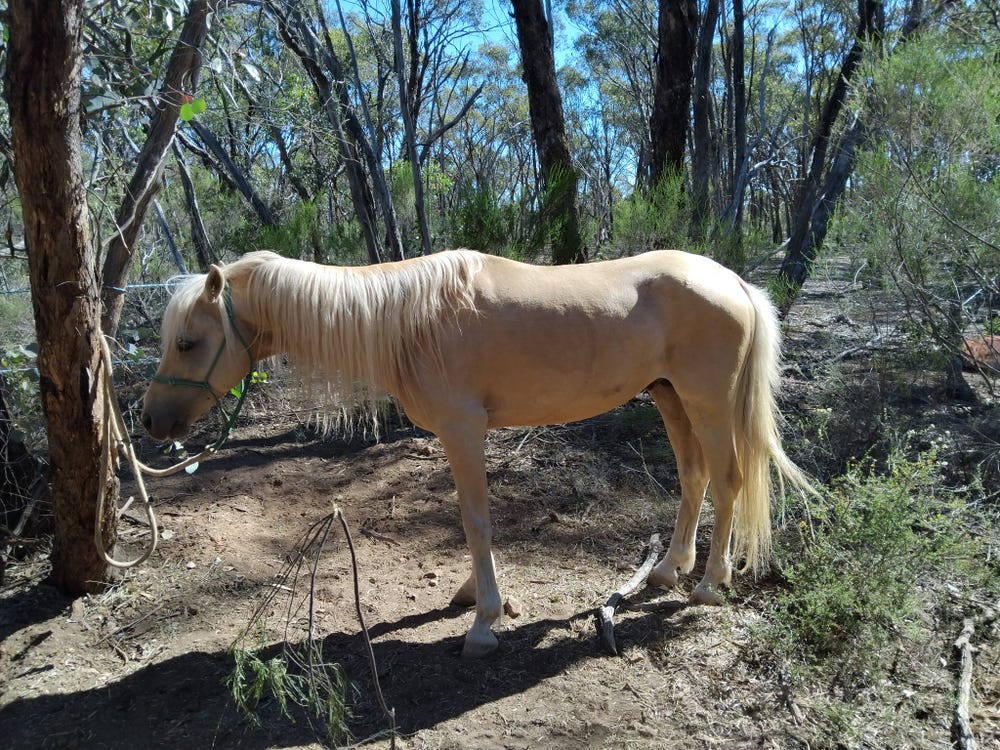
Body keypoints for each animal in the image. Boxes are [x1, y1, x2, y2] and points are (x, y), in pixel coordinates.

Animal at [141, 249, 813, 658]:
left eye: (187, 341)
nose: (149, 421)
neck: (408, 319)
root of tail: (735, 282)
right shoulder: (458, 435)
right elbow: (473, 522)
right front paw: (475, 595)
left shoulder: (463, 430)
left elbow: (475, 521)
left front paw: (483, 622)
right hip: (669, 397)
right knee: (694, 477)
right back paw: (670, 569)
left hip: (707, 402)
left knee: (727, 480)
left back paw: (710, 584)